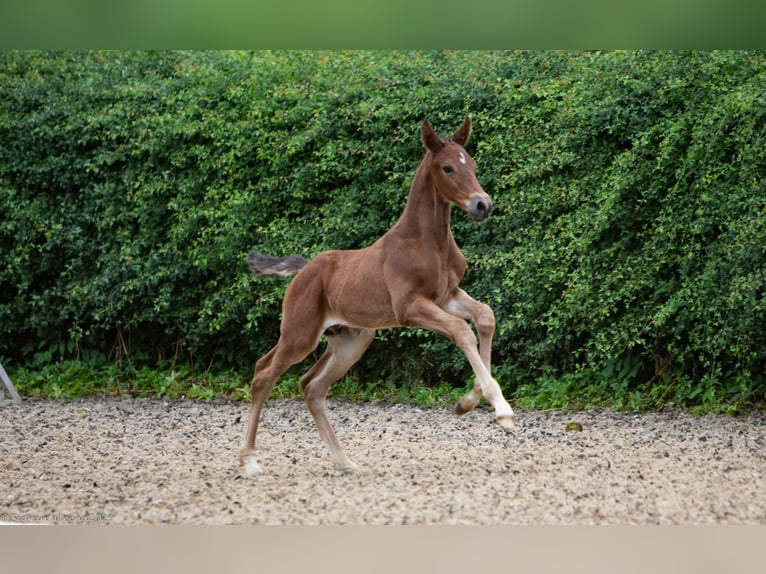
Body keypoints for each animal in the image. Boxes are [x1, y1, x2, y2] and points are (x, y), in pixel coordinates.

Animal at [240, 117, 516, 476]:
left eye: (472, 164)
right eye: (448, 168)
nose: (482, 205)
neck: (428, 241)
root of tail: (303, 269)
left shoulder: (446, 296)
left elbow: (484, 316)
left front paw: (467, 402)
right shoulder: (410, 307)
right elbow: (461, 330)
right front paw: (500, 407)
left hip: (350, 341)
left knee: (312, 386)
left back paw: (345, 462)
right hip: (300, 335)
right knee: (263, 374)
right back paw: (250, 460)